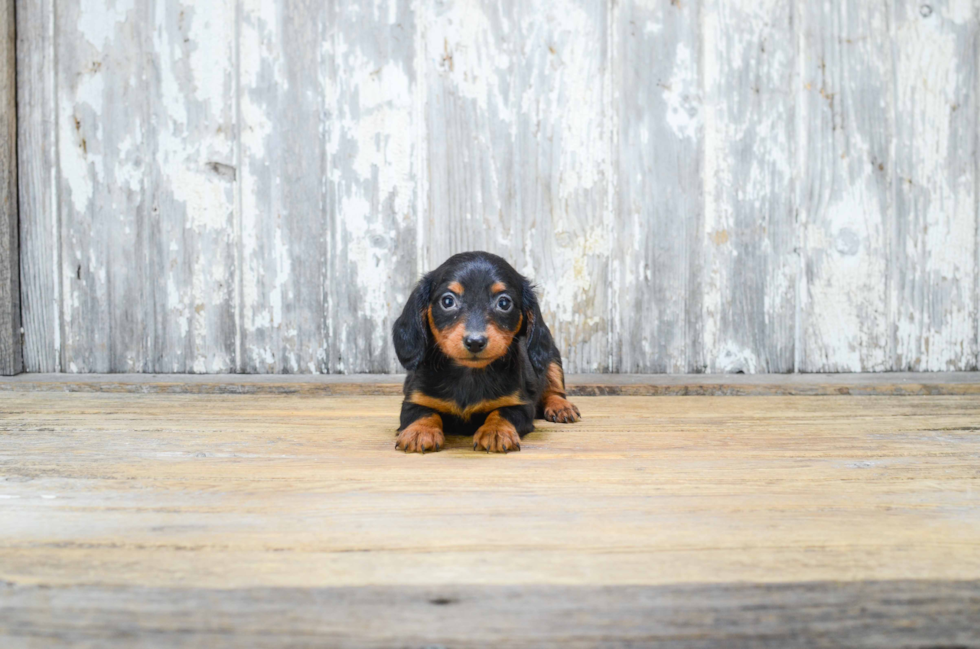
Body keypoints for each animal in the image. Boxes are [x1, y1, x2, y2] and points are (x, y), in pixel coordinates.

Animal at [390, 251, 580, 454]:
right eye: (447, 301)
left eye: (504, 303)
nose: (475, 342)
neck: (468, 373)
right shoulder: (415, 399)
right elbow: (422, 412)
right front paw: (419, 432)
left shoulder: (519, 404)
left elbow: (502, 412)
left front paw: (496, 431)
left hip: (552, 358)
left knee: (554, 389)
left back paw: (561, 407)